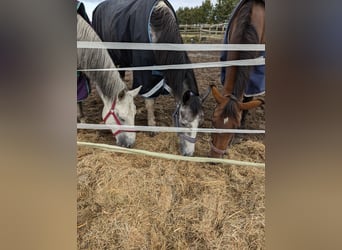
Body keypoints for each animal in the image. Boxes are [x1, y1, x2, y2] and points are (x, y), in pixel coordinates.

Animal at [91, 0, 208, 156]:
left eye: (200, 123)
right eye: (183, 123)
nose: (188, 154)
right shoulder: (145, 74)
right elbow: (150, 102)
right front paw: (152, 127)